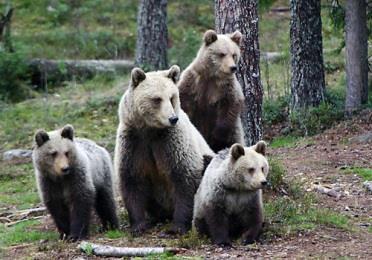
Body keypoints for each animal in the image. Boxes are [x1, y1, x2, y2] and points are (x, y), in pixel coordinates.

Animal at [114, 65, 215, 236]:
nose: (172, 118)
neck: (151, 130)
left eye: (172, 97)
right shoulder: (134, 142)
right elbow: (132, 179)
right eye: (157, 99)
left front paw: (177, 227)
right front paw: (138, 225)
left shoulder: (172, 141)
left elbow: (184, 177)